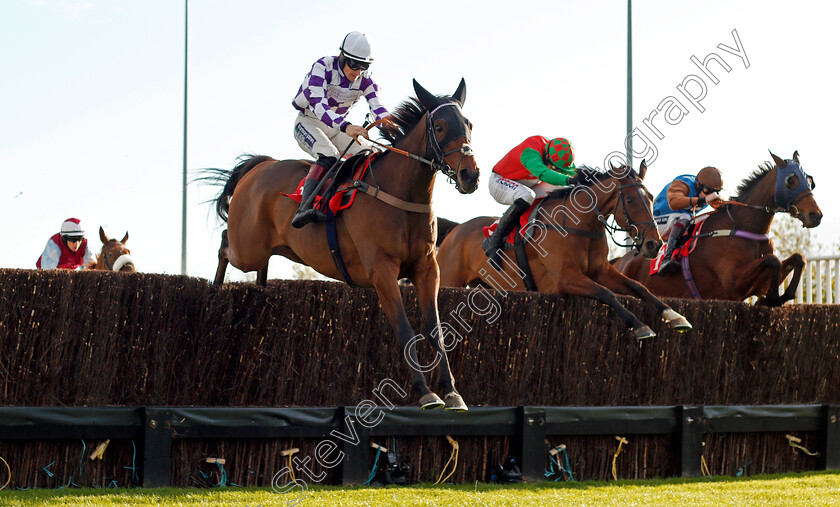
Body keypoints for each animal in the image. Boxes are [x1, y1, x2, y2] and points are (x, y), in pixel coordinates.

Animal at [207, 80, 480, 412]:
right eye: (439, 127)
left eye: (468, 125)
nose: (470, 175)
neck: (398, 192)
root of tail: (263, 165)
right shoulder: (382, 270)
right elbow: (404, 329)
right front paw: (425, 392)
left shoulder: (427, 268)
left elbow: (435, 330)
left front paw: (452, 391)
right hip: (247, 247)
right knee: (225, 244)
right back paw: (215, 291)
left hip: (266, 249)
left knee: (257, 263)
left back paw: (259, 288)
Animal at [436, 161, 692, 340]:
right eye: (629, 200)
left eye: (650, 197)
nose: (654, 244)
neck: (580, 224)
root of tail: (456, 229)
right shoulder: (564, 278)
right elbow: (605, 293)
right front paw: (640, 326)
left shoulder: (601, 271)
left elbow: (637, 287)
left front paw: (675, 316)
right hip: (450, 279)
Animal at [612, 152, 820, 306]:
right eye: (790, 181)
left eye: (809, 180)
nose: (815, 215)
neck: (745, 225)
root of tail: (619, 262)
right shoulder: (733, 283)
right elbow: (772, 260)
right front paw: (773, 298)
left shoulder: (758, 284)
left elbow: (798, 259)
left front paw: (780, 297)